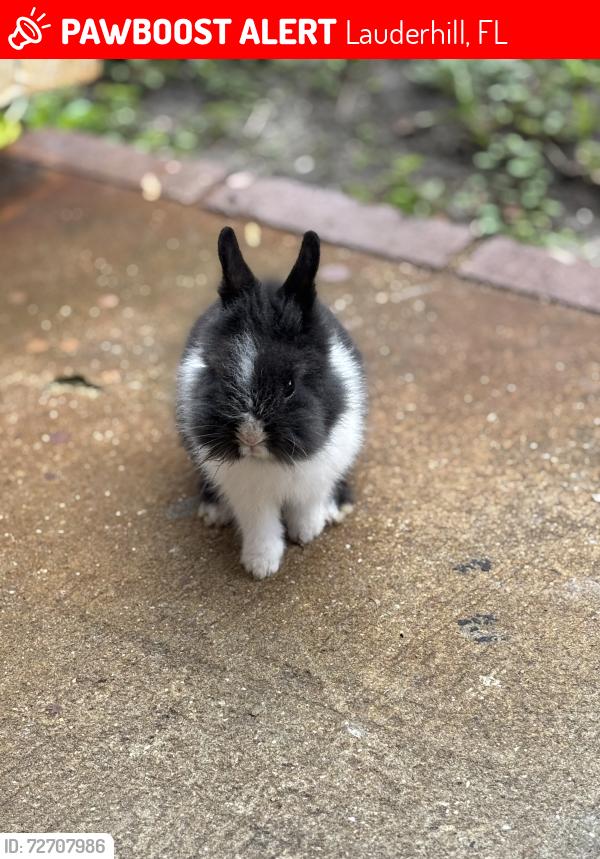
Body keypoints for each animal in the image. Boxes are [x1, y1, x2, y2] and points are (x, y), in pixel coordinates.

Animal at [176, 226, 367, 579]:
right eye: (219, 373)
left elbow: (308, 503)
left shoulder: (320, 472)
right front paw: (260, 565)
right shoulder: (249, 496)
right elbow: (261, 526)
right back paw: (213, 511)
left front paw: (308, 531)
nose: (250, 437)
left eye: (290, 385)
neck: (273, 461)